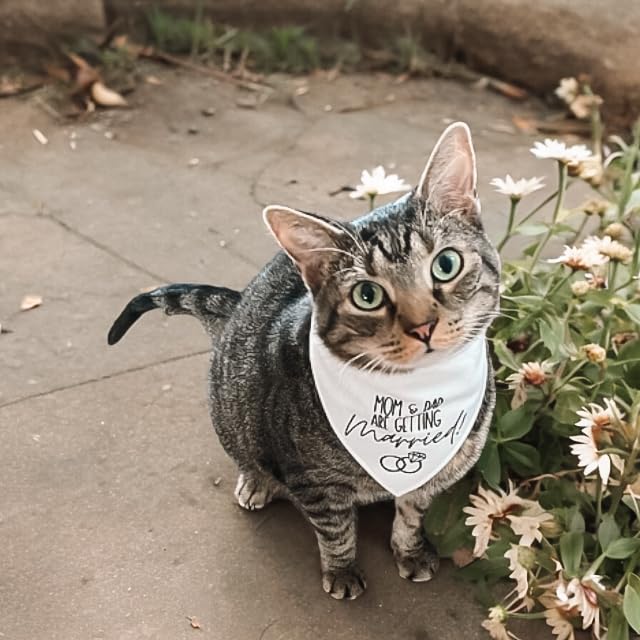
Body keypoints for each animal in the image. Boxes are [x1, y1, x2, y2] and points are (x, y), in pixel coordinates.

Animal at [109, 121, 500, 600]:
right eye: (367, 295)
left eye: (446, 264)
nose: (423, 326)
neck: (414, 396)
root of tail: (237, 306)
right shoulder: (312, 482)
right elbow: (335, 530)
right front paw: (342, 571)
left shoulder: (432, 477)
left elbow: (411, 514)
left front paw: (409, 551)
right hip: (230, 411)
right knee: (246, 455)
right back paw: (256, 483)